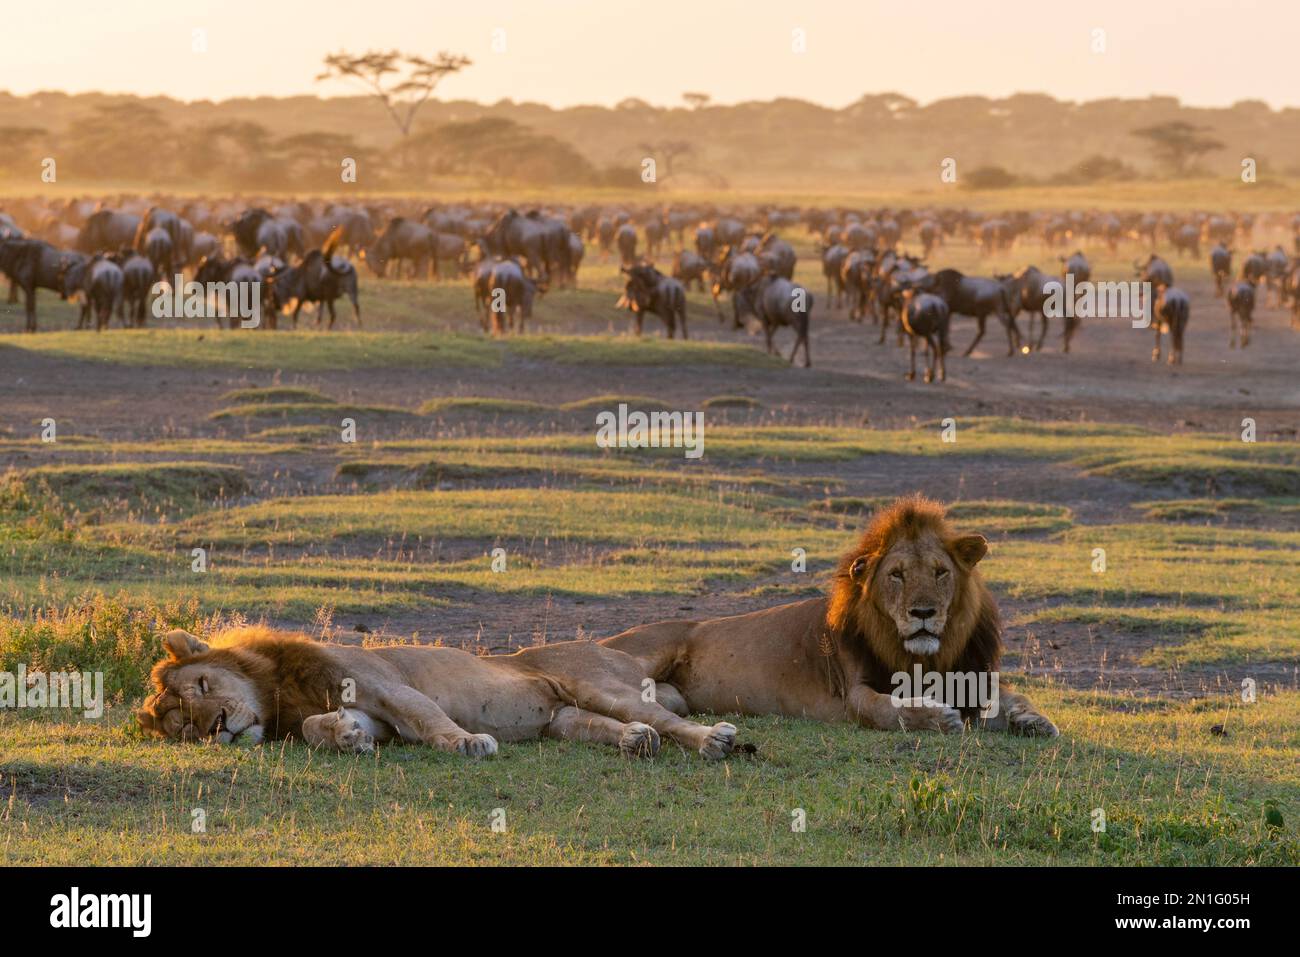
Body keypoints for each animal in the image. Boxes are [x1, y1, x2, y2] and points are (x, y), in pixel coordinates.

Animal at [603, 496, 1060, 738]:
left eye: (939, 572)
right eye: (896, 575)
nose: (923, 612)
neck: (925, 656)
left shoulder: (971, 675)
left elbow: (1011, 695)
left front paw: (1032, 718)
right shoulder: (852, 690)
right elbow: (886, 709)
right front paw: (937, 716)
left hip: (674, 695)